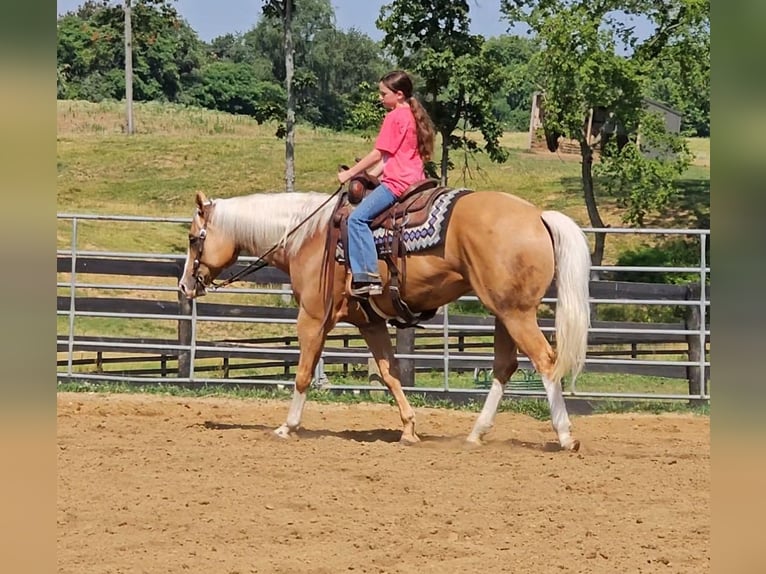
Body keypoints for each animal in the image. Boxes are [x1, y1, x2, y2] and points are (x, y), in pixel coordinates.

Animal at [182, 189, 592, 450]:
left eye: (192, 238)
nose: (185, 284)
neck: (308, 237)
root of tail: (538, 216)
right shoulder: (370, 323)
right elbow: (389, 372)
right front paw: (409, 430)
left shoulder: (312, 317)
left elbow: (302, 374)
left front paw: (288, 426)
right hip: (503, 313)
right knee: (504, 368)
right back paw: (476, 433)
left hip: (516, 314)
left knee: (546, 361)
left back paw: (565, 436)